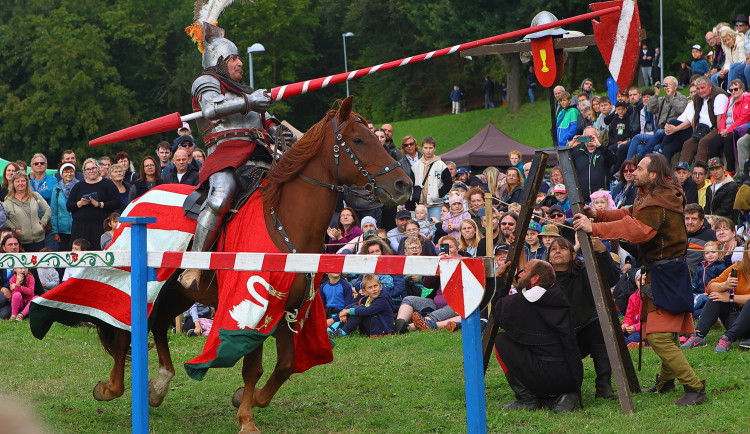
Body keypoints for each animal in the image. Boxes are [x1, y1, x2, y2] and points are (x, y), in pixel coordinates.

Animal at [92, 96, 418, 432]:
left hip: (181, 292)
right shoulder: (253, 307)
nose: (404, 184)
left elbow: (286, 365)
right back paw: (111, 388)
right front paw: (247, 419)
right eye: (358, 140)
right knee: (124, 329)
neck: (286, 220)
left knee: (155, 325)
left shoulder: (290, 306)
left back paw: (158, 387)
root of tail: (136, 202)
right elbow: (252, 367)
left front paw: (247, 399)